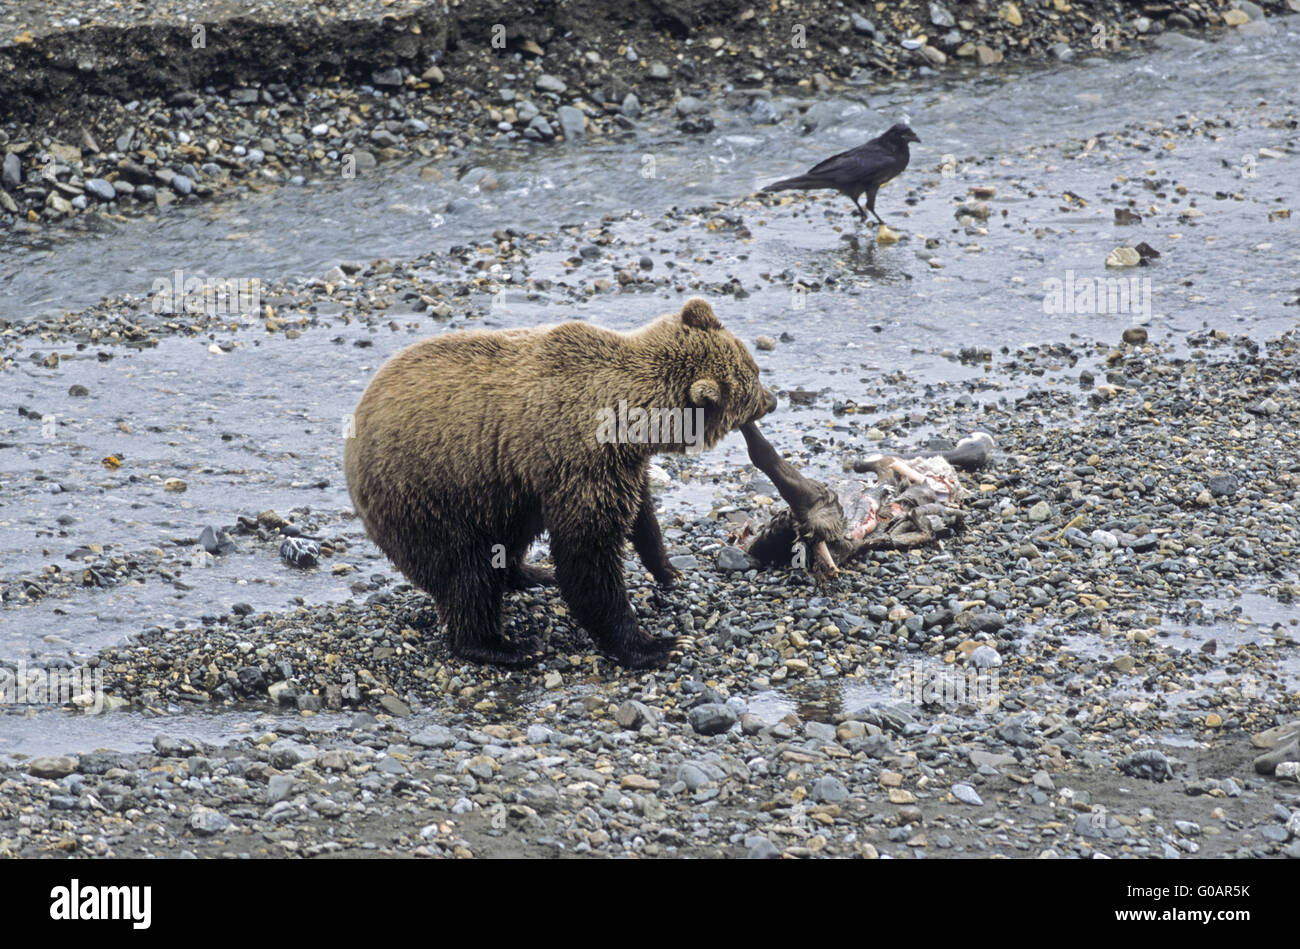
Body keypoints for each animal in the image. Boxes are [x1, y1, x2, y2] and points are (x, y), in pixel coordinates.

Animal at [340, 296, 774, 665]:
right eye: (752, 381)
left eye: (754, 367)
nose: (772, 400)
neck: (631, 422)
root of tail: (354, 431)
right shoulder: (581, 462)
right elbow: (588, 555)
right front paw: (656, 644)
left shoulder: (621, 465)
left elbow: (642, 513)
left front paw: (667, 568)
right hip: (432, 495)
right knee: (466, 571)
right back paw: (504, 645)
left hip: (501, 492)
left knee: (506, 540)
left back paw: (531, 574)